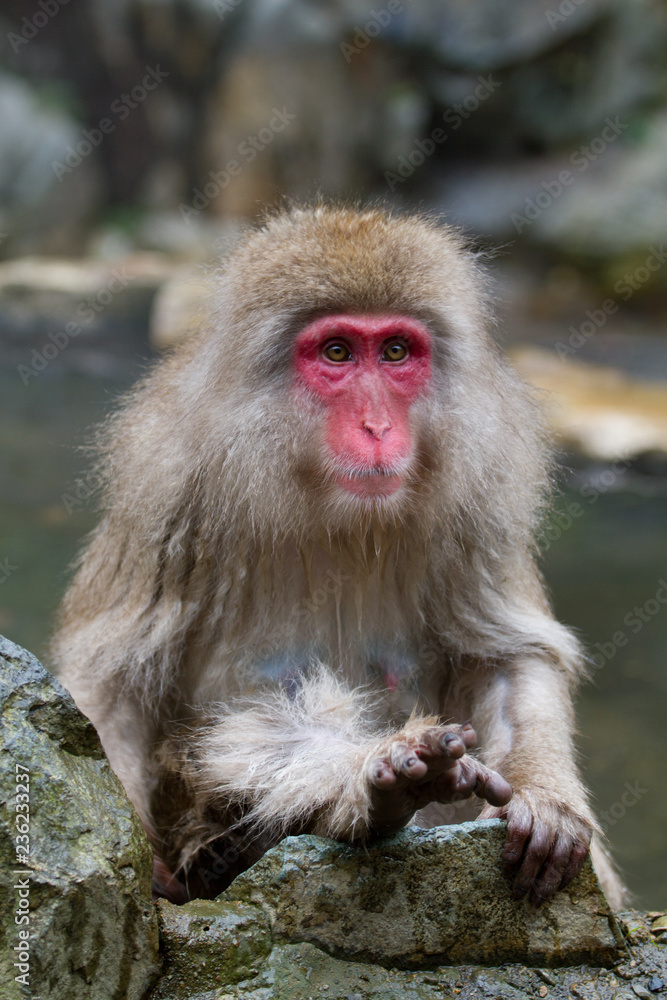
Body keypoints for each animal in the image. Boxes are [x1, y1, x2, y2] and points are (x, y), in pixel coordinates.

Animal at [51, 205, 624, 909]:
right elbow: (111, 690)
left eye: (397, 351)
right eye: (337, 353)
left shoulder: (483, 492)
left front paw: (546, 804)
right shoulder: (161, 485)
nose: (377, 427)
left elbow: (506, 653)